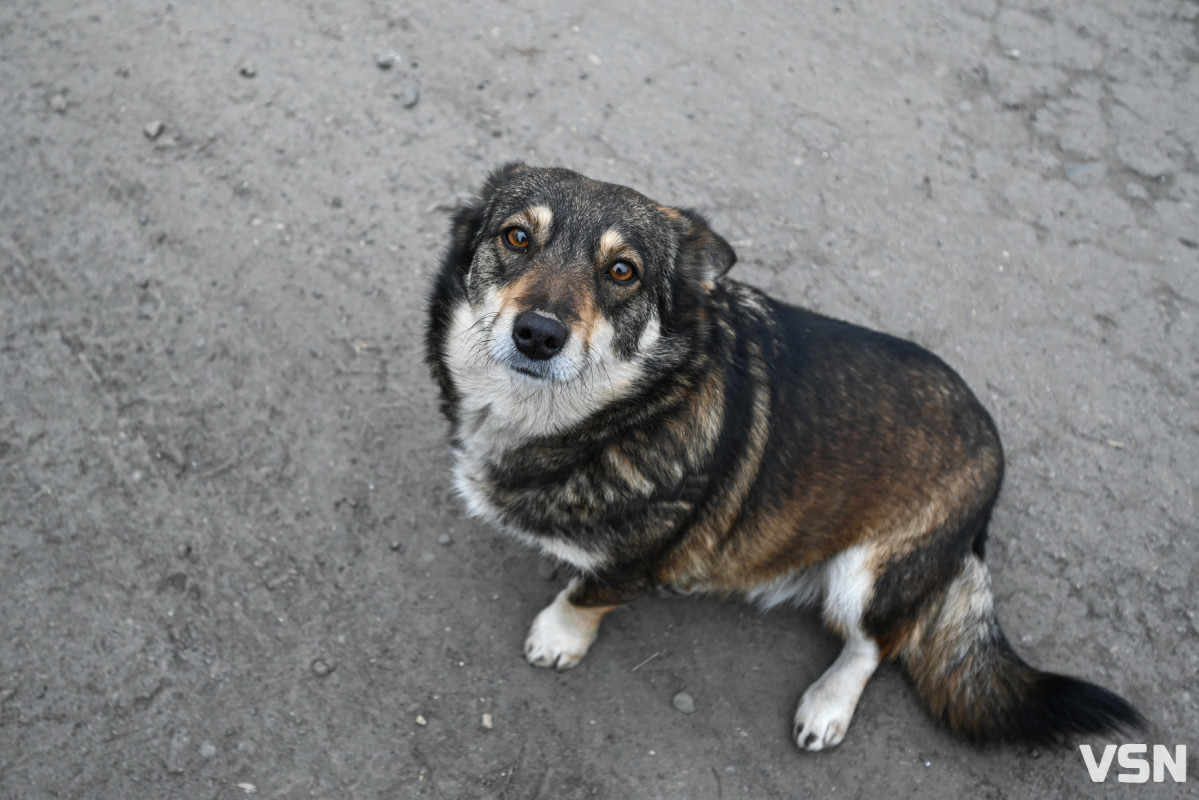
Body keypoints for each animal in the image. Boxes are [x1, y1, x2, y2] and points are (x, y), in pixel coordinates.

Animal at [424, 164, 1141, 753]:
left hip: (870, 573)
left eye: (622, 271)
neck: (608, 418)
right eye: (517, 237)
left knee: (878, 643)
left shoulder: (635, 563)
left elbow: (586, 593)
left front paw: (558, 636)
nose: (538, 335)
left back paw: (827, 706)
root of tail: (991, 444)